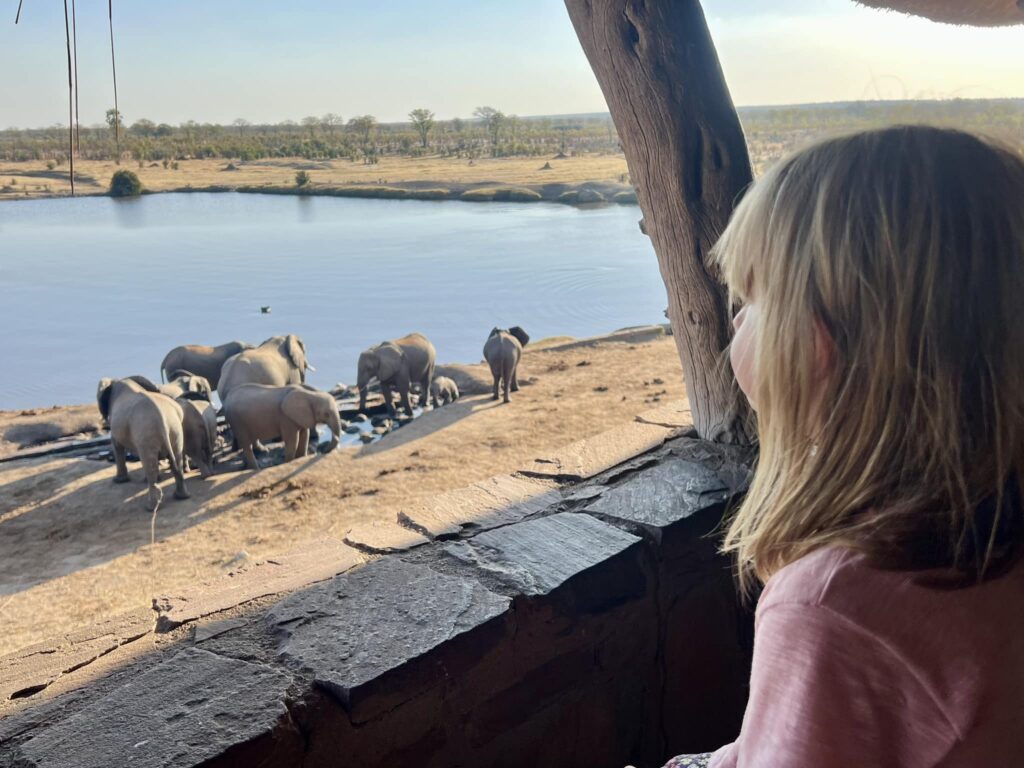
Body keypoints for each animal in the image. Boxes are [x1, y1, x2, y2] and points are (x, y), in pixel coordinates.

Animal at [97, 376, 192, 512]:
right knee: (176, 460)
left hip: (146, 431)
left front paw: (118, 481)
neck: (122, 380)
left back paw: (150, 507)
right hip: (176, 429)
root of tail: (161, 417)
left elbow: (117, 445)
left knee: (150, 466)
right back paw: (181, 497)